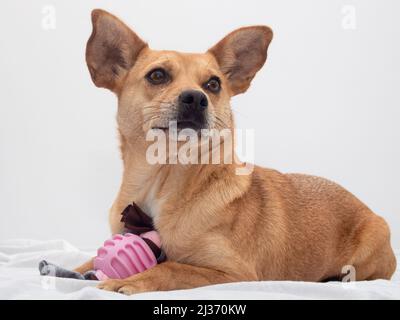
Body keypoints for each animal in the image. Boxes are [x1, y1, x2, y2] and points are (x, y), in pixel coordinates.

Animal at [76, 9, 396, 296]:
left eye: (213, 84)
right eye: (157, 75)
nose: (196, 98)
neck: (163, 180)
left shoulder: (235, 272)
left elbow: (172, 267)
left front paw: (129, 280)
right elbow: (88, 263)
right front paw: (80, 270)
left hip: (370, 247)